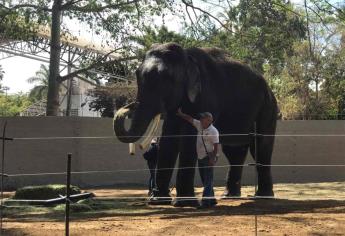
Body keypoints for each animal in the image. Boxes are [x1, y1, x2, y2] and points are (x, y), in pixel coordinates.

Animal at [113, 42, 276, 206]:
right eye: (137, 75)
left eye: (166, 79)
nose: (129, 106)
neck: (186, 57)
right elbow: (168, 137)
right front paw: (158, 201)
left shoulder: (206, 95)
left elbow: (189, 138)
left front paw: (184, 203)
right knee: (234, 151)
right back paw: (229, 196)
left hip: (267, 108)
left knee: (261, 147)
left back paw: (264, 196)